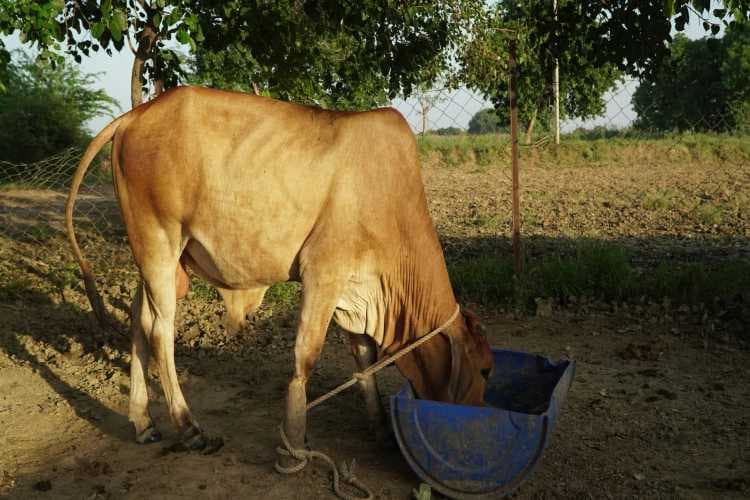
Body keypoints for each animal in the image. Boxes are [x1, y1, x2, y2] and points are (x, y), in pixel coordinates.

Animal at [66, 86, 494, 460]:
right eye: (486, 370)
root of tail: (135, 115)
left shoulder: (356, 286)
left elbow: (364, 359)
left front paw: (380, 430)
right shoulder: (323, 271)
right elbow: (307, 355)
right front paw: (294, 438)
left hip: (157, 257)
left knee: (138, 321)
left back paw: (143, 422)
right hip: (158, 239)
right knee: (159, 331)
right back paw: (189, 428)